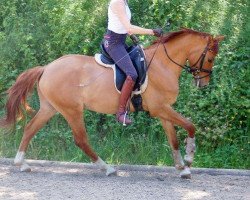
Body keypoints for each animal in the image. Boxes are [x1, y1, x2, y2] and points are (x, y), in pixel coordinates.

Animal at [0, 28, 225, 178]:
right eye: (211, 58)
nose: (203, 83)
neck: (163, 64)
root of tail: (46, 68)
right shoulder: (160, 108)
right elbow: (190, 125)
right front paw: (189, 160)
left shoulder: (163, 110)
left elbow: (173, 139)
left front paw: (180, 167)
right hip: (72, 110)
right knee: (81, 140)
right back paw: (107, 168)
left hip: (50, 108)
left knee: (30, 128)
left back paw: (21, 163)